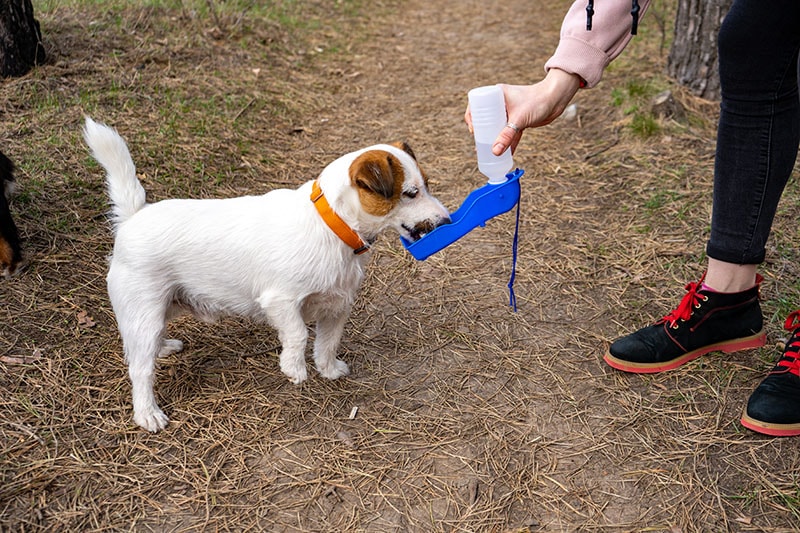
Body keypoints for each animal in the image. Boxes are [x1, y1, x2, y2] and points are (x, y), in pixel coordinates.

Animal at [86, 117, 456, 432]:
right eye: (410, 193)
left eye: (427, 185)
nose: (447, 220)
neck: (332, 224)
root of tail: (133, 217)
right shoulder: (281, 301)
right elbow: (299, 336)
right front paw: (294, 369)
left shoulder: (336, 306)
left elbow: (328, 343)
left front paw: (328, 370)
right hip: (144, 314)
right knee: (139, 368)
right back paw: (147, 412)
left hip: (160, 309)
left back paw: (164, 347)